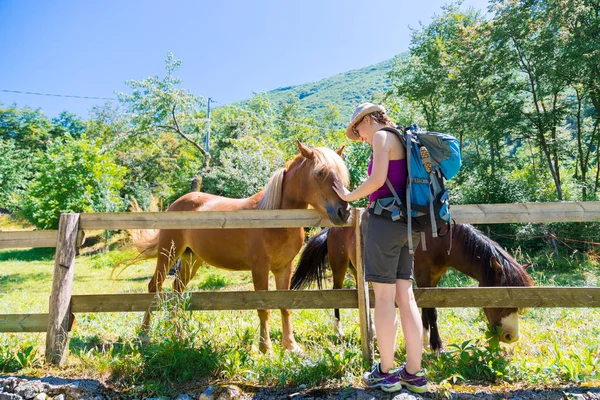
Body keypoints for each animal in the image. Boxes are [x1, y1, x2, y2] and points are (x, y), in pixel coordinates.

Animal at [292, 223, 532, 352]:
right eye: (502, 297)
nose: (511, 336)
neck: (439, 240)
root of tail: (332, 229)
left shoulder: (432, 279)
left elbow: (426, 310)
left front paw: (423, 341)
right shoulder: (423, 275)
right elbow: (431, 312)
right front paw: (436, 345)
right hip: (339, 267)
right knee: (337, 294)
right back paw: (339, 330)